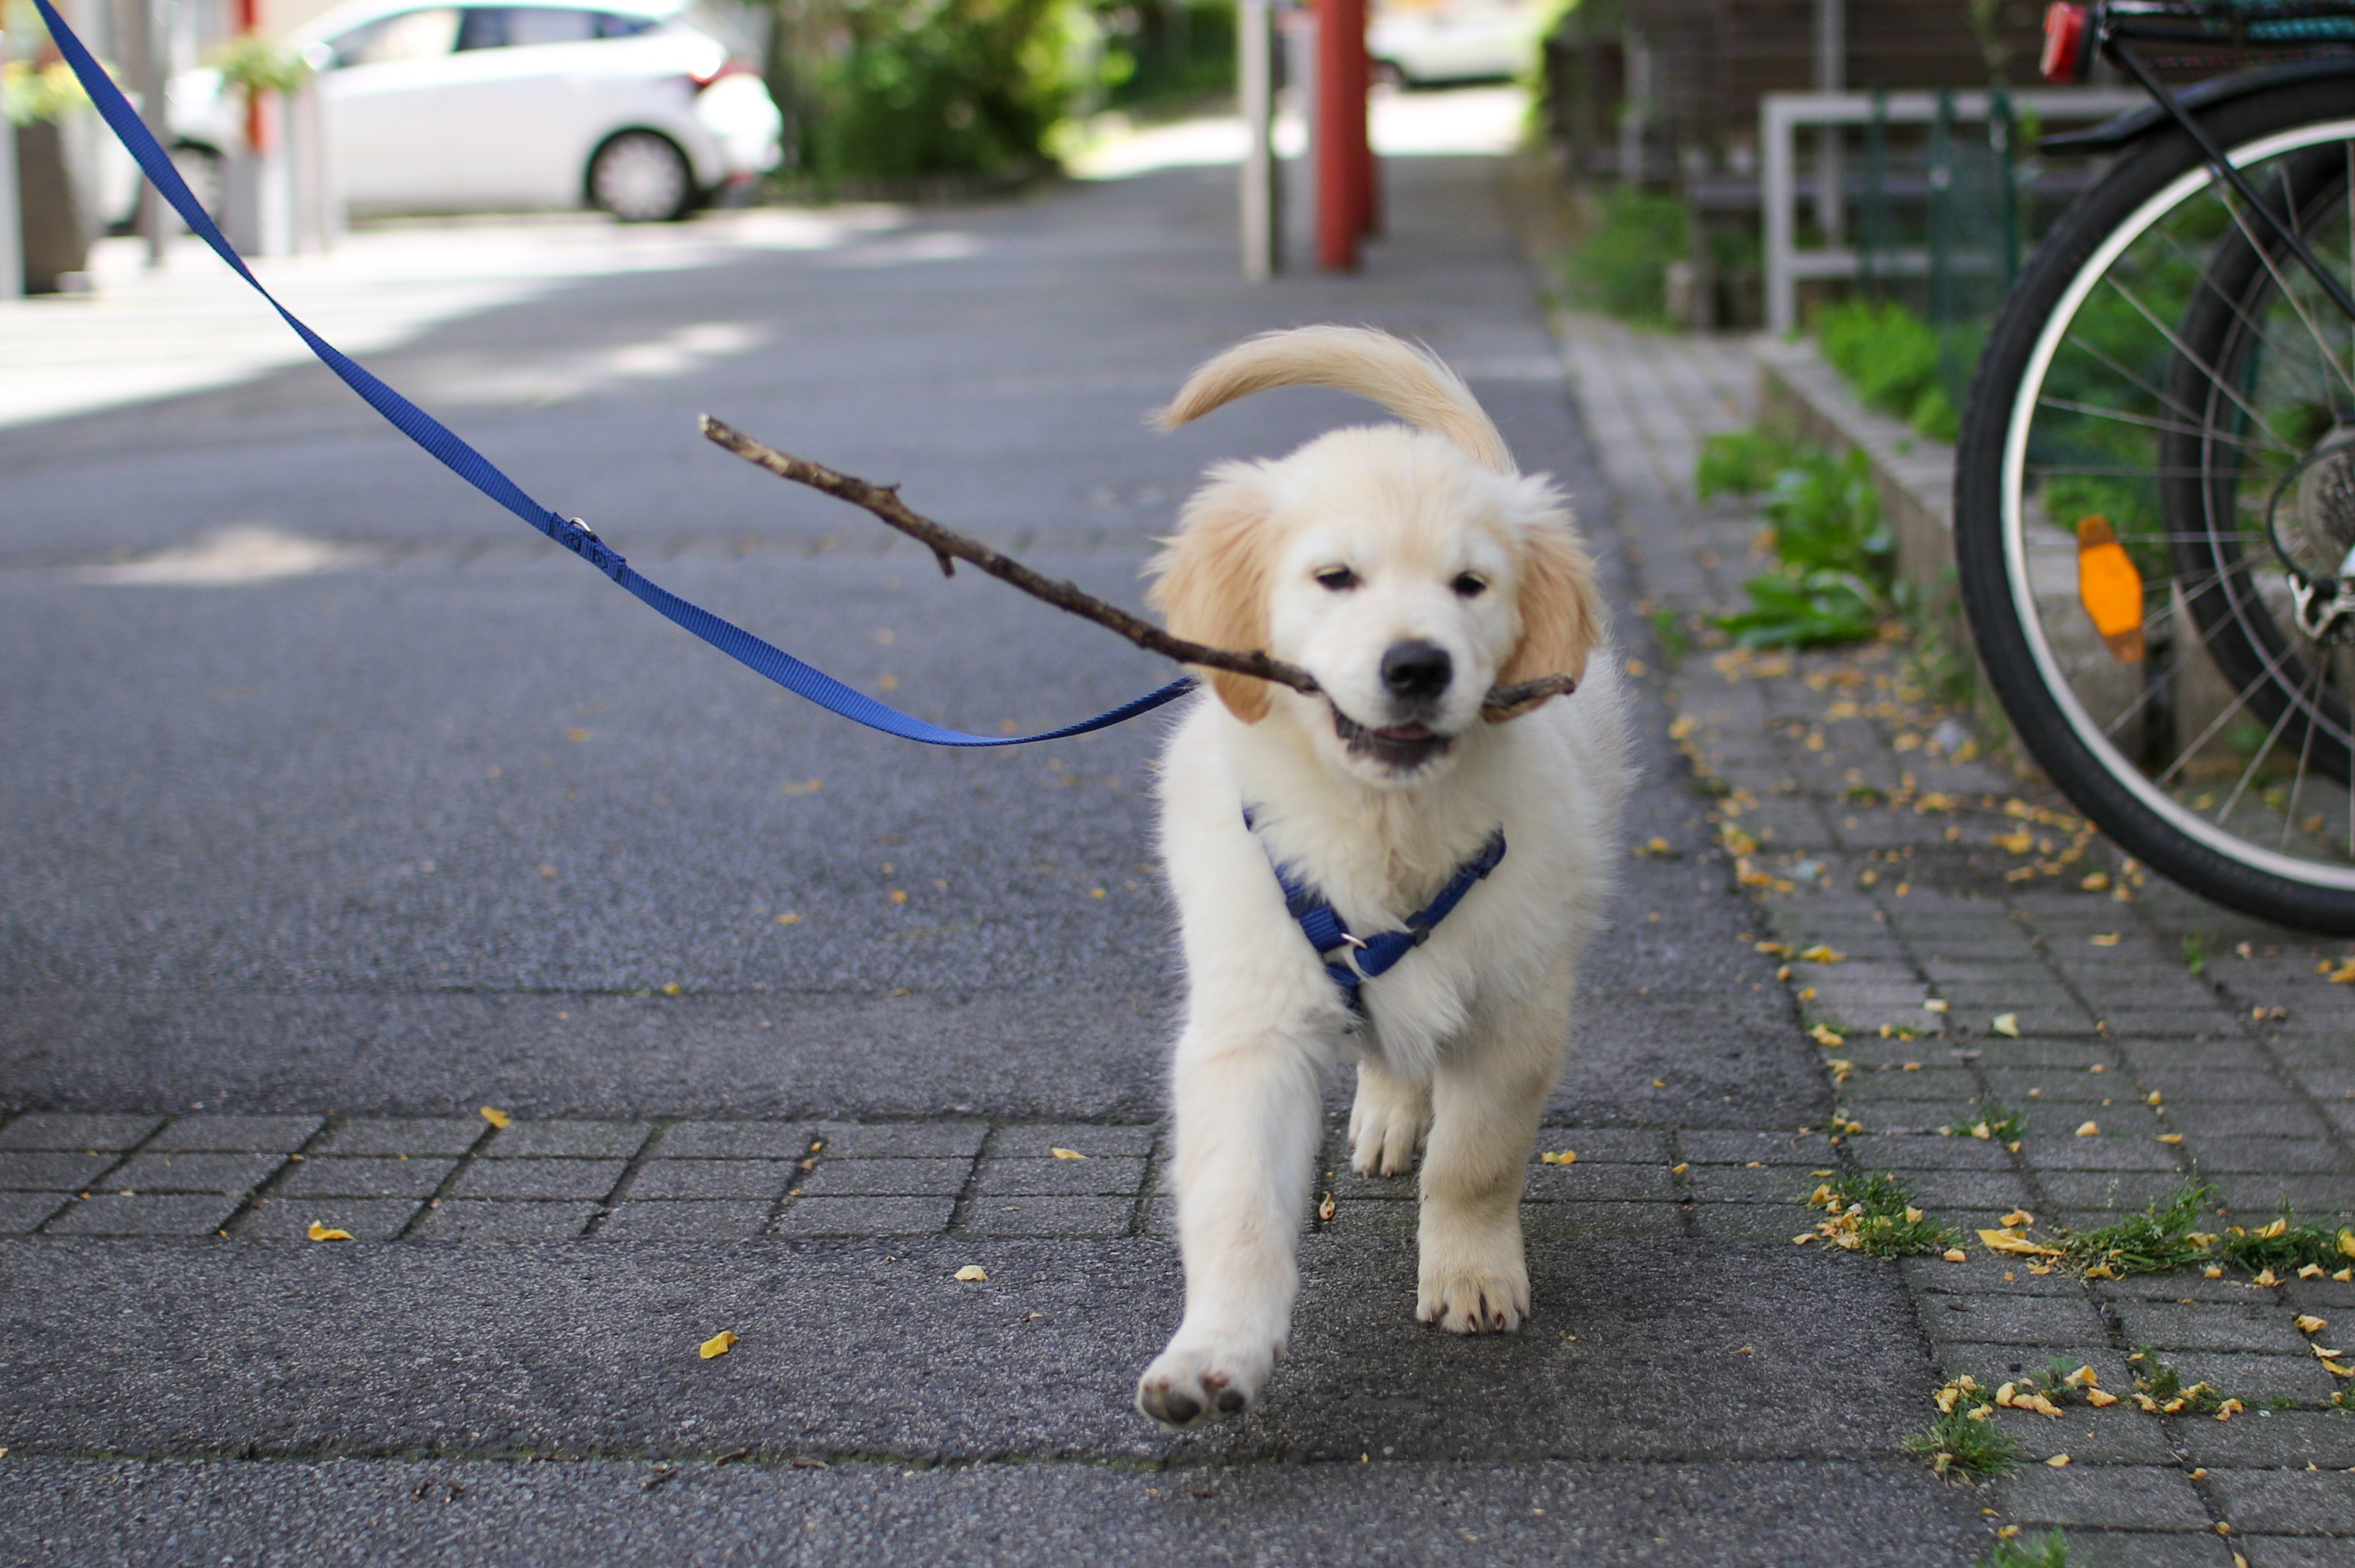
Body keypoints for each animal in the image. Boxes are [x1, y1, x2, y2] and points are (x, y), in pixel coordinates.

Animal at [1130, 322, 1629, 1421]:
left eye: (1470, 585)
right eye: (1335, 578)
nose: (1416, 666)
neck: (1384, 823)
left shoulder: (1515, 1006)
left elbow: (1476, 1160)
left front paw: (1472, 1272)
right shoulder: (1251, 1020)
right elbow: (1235, 1201)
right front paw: (1213, 1349)